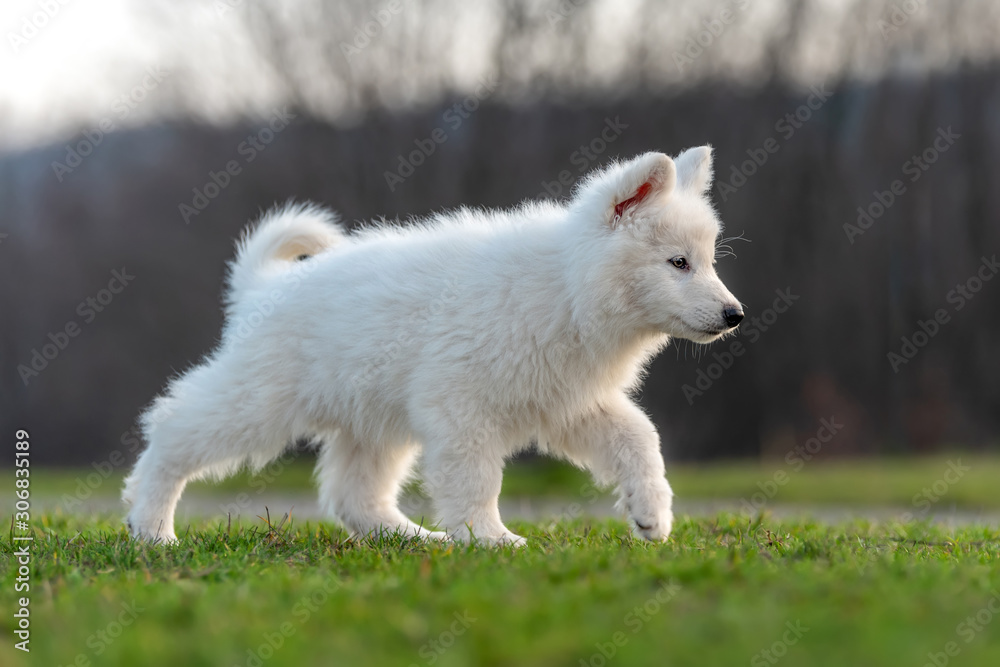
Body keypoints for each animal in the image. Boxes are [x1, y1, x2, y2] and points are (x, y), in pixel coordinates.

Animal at [121, 149, 744, 544]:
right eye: (678, 263)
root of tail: (263, 286)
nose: (735, 316)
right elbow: (476, 479)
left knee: (355, 495)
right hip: (257, 402)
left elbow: (639, 437)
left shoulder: (569, 400)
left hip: (373, 419)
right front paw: (488, 538)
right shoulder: (461, 406)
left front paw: (651, 514)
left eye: (707, 261)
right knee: (173, 430)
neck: (564, 286)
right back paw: (151, 528)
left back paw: (414, 539)